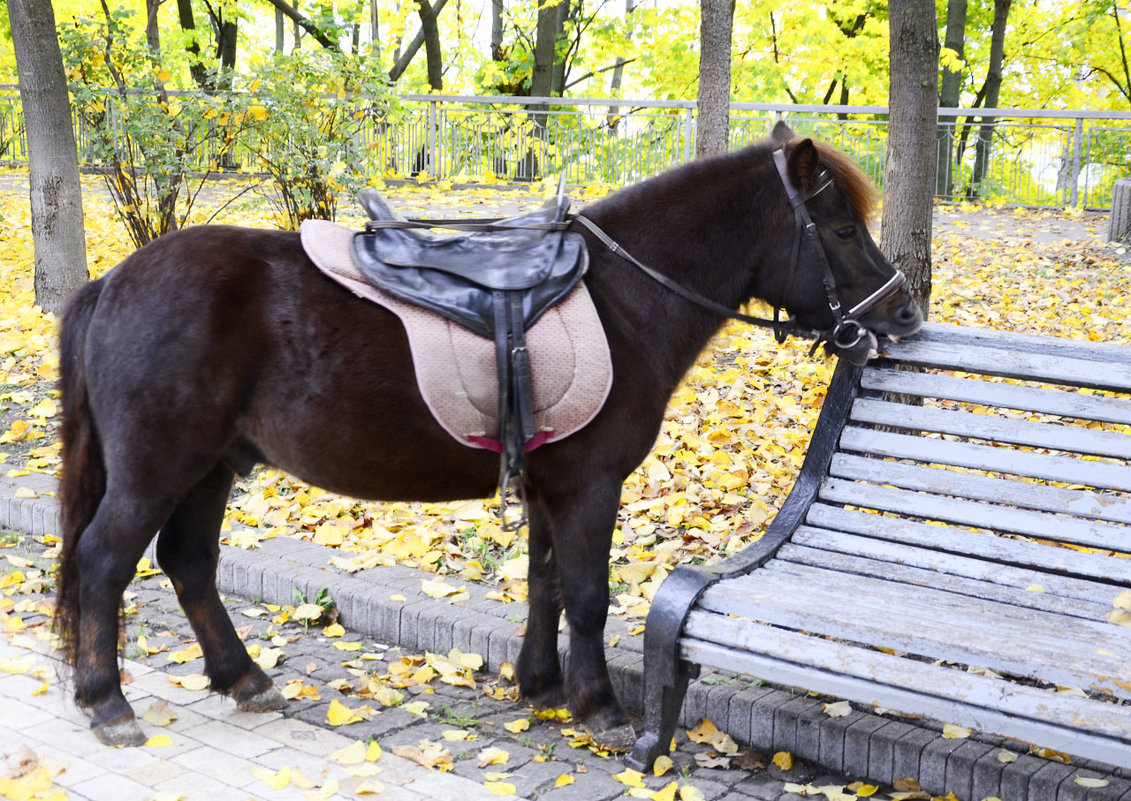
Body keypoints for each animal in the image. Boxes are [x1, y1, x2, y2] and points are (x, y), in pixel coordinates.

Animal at [53, 123, 922, 746]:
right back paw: (106, 703)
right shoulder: (589, 484)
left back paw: (241, 676)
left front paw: (540, 685)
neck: (621, 295)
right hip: (157, 468)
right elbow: (589, 594)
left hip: (209, 467)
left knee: (189, 563)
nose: (903, 313)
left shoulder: (548, 485)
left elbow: (544, 583)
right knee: (103, 561)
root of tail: (113, 280)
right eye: (842, 229)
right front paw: (597, 703)